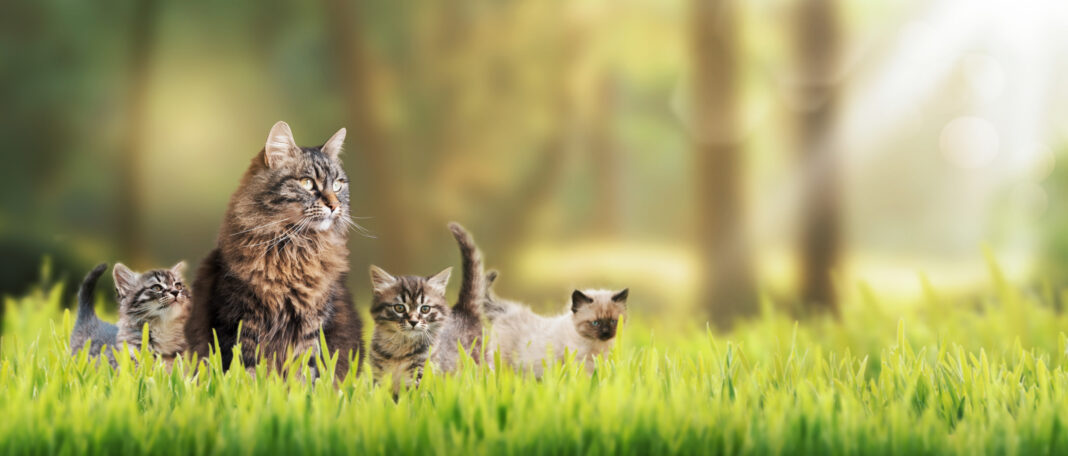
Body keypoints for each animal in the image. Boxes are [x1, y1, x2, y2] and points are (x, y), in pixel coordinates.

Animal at [185, 119, 365, 380]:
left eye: (338, 184)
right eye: (307, 183)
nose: (334, 205)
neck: (293, 248)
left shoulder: (310, 325)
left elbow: (303, 372)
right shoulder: (242, 320)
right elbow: (247, 369)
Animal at [367, 265, 450, 397]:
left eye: (425, 309)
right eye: (399, 308)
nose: (413, 321)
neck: (400, 348)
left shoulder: (421, 370)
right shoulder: (379, 375)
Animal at [484, 277, 623, 378]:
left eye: (613, 321)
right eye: (595, 323)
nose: (606, 333)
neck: (595, 344)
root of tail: (506, 312)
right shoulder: (579, 363)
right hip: (504, 362)